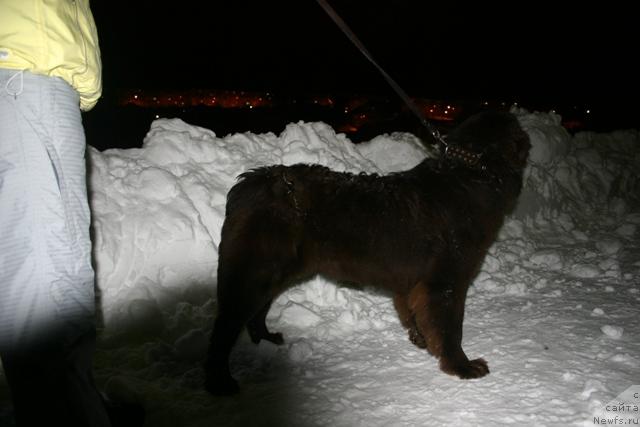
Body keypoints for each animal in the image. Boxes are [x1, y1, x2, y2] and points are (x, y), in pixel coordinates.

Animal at [204, 110, 528, 394]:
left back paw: (266, 339)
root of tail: (249, 182)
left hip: (271, 273)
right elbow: (450, 329)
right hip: (254, 273)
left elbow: (414, 313)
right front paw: (462, 367)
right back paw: (220, 383)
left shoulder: (414, 283)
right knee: (223, 329)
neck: (472, 173)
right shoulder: (445, 282)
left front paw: (420, 339)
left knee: (255, 313)